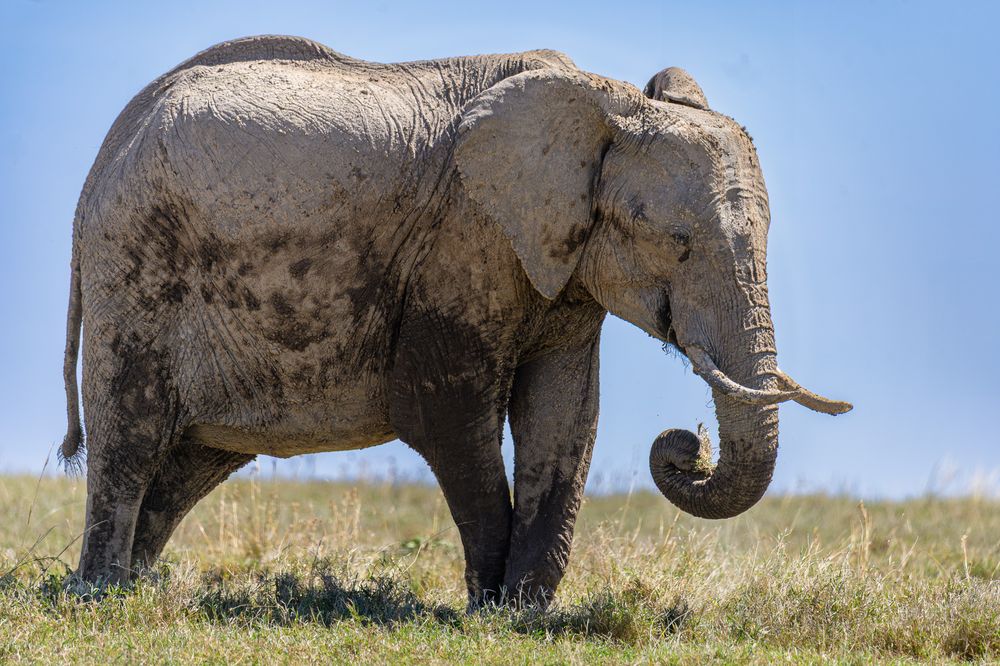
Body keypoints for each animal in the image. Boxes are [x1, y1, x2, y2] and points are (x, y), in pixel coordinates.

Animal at [59, 35, 851, 607]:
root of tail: (105, 153)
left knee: (194, 457)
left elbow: (564, 416)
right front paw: (490, 610)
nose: (687, 445)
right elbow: (446, 414)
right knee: (131, 437)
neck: (605, 101)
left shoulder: (560, 267)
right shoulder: (464, 241)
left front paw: (528, 613)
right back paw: (100, 597)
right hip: (137, 265)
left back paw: (136, 585)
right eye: (678, 242)